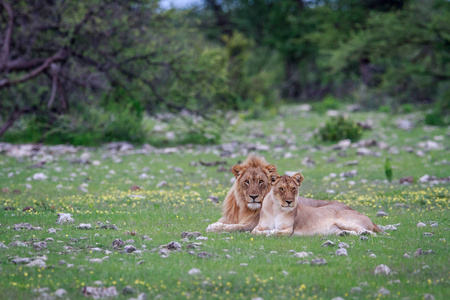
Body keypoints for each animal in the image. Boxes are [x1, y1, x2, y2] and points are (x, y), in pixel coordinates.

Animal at [251, 173, 382, 237]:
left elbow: (276, 231)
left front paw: (271, 232)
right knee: (352, 232)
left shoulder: (288, 229)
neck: (276, 208)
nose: (289, 202)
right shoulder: (258, 227)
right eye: (281, 189)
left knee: (366, 231)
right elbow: (255, 232)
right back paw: (343, 233)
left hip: (344, 220)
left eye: (293, 188)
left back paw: (366, 233)